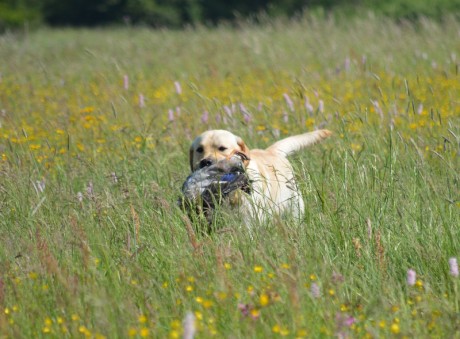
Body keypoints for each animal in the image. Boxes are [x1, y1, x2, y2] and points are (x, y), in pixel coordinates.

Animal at [189, 130, 332, 223]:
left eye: (222, 148)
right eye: (199, 149)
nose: (205, 162)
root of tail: (271, 150)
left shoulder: (251, 219)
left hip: (294, 208)